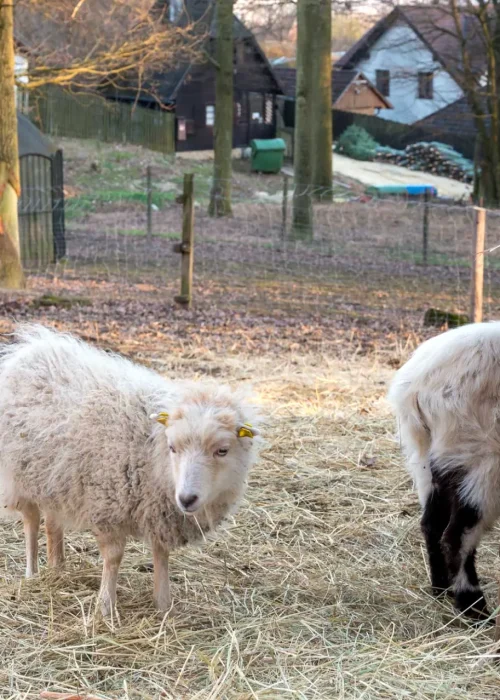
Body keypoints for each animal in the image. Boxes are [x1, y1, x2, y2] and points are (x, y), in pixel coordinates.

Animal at [0, 324, 261, 615]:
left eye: (222, 450)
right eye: (172, 447)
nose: (186, 499)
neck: (151, 451)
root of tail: (32, 347)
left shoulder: (160, 512)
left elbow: (161, 554)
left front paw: (163, 604)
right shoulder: (108, 506)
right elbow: (114, 557)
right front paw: (105, 606)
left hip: (54, 477)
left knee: (53, 523)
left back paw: (58, 567)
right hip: (19, 476)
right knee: (31, 522)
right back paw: (32, 573)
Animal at [387, 321, 500, 622]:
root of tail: (417, 383)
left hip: (429, 457)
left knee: (431, 524)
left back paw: (441, 589)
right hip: (481, 458)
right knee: (455, 536)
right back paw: (473, 607)